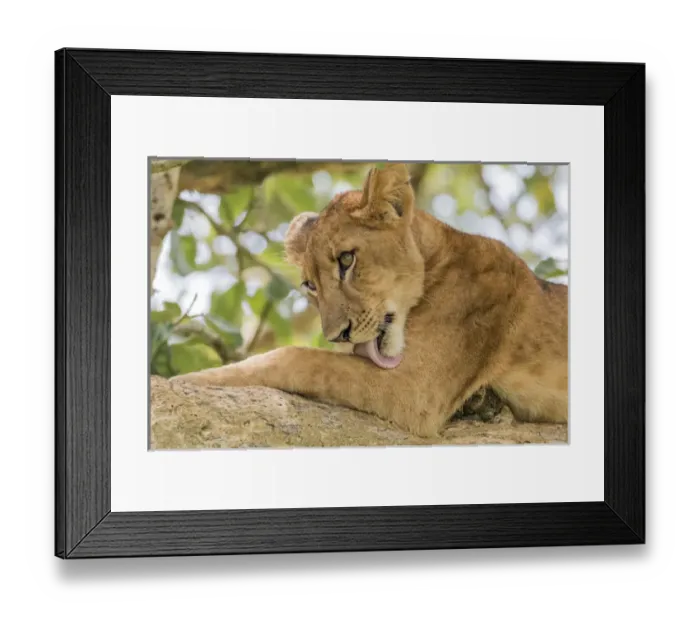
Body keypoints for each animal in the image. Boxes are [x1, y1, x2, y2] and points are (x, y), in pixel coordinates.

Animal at [173, 163, 568, 437]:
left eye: (347, 260)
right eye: (310, 285)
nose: (338, 335)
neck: (437, 260)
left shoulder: (416, 390)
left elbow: (295, 358)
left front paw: (188, 379)